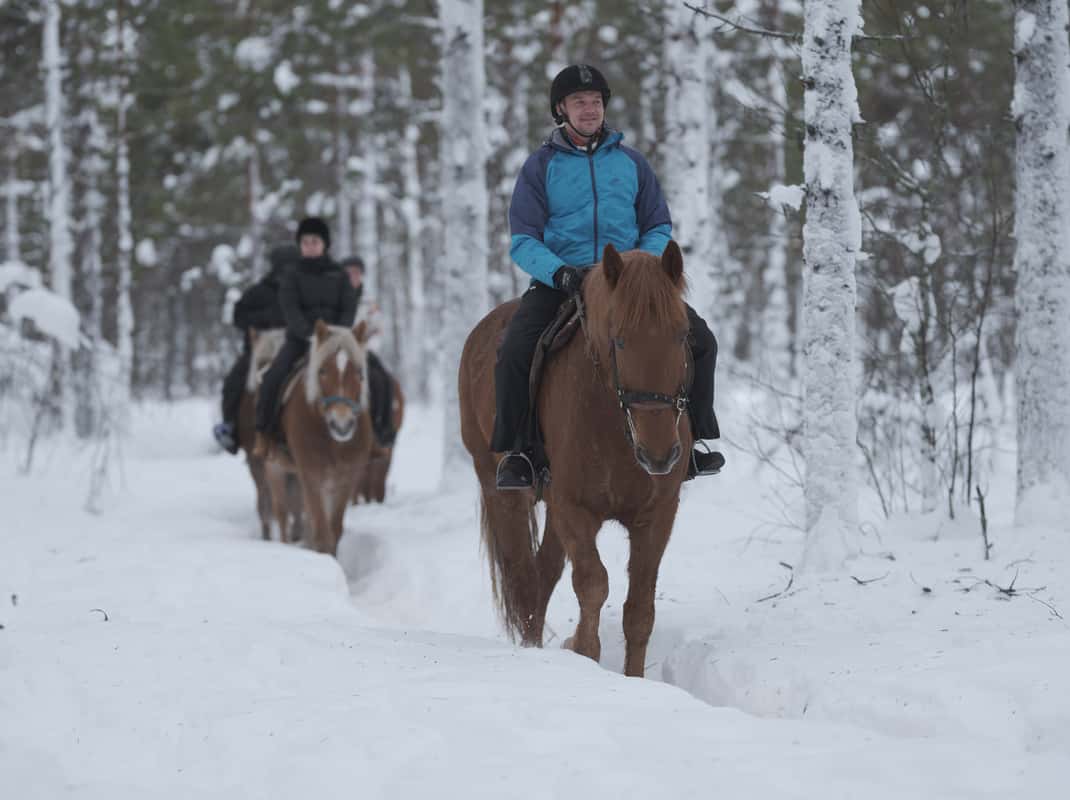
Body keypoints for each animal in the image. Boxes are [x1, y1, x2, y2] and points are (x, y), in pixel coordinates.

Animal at [262, 320, 374, 554]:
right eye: (322, 370)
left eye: (359, 372)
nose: (342, 424)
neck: (334, 443)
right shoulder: (312, 476)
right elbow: (322, 535)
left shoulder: (345, 479)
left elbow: (334, 531)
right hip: (274, 468)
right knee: (282, 514)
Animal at [459, 242, 694, 678]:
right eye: (619, 340)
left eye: (682, 334)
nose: (659, 454)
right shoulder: (574, 508)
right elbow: (593, 584)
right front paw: (582, 650)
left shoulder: (656, 515)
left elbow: (640, 609)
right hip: (499, 488)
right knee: (523, 575)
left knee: (544, 572)